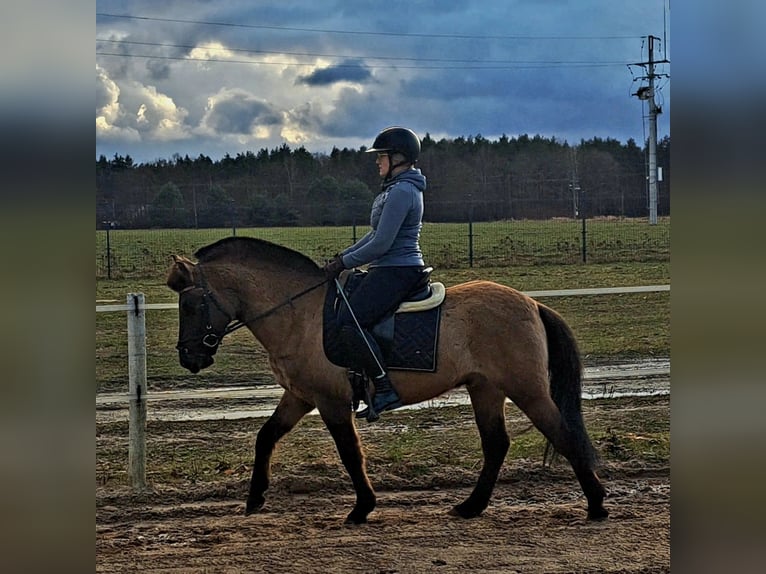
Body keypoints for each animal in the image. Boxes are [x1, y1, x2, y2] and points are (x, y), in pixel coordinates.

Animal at [166, 236, 608, 524]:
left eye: (190, 305)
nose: (189, 357)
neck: (299, 315)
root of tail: (531, 303)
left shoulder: (330, 401)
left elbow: (349, 453)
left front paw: (362, 507)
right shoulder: (300, 396)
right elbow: (266, 437)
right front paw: (256, 496)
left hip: (526, 389)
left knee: (562, 434)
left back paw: (597, 505)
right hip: (486, 388)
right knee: (497, 444)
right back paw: (471, 506)